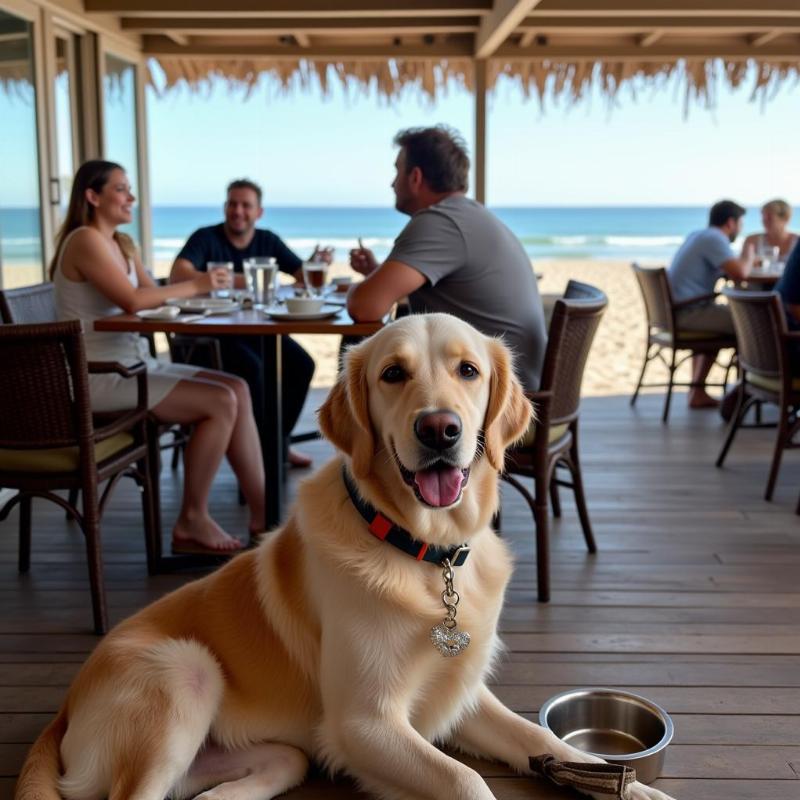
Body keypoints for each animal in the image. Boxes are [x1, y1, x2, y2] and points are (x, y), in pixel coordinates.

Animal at [15, 312, 672, 800]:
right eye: (392, 374)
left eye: (468, 370)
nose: (440, 429)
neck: (424, 554)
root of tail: (64, 709)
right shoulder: (364, 723)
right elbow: (467, 782)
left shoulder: (462, 697)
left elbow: (549, 744)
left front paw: (634, 788)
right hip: (185, 672)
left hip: (277, 758)